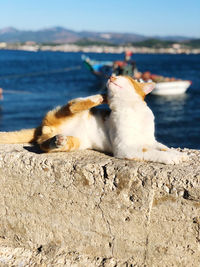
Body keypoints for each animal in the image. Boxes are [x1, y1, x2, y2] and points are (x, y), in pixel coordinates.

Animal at [0, 74, 188, 164]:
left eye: (124, 77)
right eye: (114, 75)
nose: (111, 77)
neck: (132, 109)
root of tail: (42, 126)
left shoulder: (150, 140)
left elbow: (161, 147)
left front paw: (177, 153)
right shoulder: (125, 148)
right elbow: (151, 152)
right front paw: (171, 158)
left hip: (76, 142)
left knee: (48, 144)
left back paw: (59, 140)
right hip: (69, 111)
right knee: (73, 105)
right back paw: (99, 97)